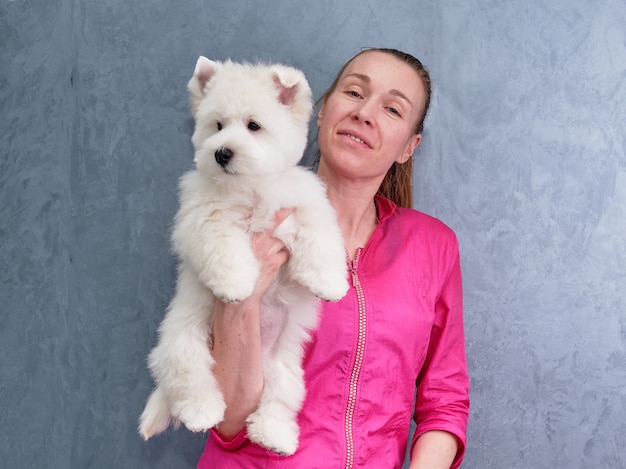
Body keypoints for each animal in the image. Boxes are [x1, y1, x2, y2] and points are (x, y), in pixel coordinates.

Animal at [138, 55, 348, 454]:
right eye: (217, 126)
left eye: (254, 126)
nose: (222, 152)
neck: (251, 186)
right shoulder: (205, 216)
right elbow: (223, 246)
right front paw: (236, 284)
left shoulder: (304, 203)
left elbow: (319, 236)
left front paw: (329, 282)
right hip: (184, 341)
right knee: (187, 376)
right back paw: (201, 411)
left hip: (284, 368)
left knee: (279, 398)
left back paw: (274, 434)